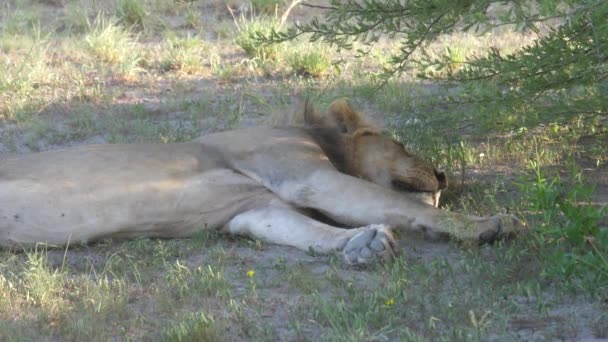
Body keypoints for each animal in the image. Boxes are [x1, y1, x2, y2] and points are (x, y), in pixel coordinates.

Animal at [0, 99, 520, 264]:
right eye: (402, 144)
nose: (443, 175)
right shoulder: (307, 177)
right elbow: (403, 206)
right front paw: (490, 225)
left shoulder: (257, 210)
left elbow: (308, 232)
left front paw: (363, 245)